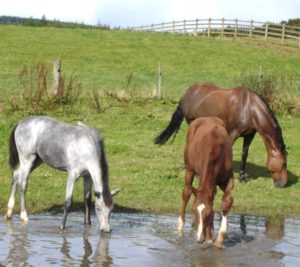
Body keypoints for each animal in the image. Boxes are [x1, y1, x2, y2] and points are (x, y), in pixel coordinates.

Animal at [155, 82, 288, 187]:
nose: (283, 184)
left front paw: (242, 178)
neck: (249, 108)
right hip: (192, 123)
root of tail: (187, 93)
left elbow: (244, 155)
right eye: (284, 163)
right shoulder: (233, 133)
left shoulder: (249, 135)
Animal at [178, 118, 234, 248]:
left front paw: (217, 239)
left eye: (208, 213)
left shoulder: (228, 178)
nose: (198, 238)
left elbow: (226, 202)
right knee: (186, 192)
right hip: (189, 170)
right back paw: (180, 227)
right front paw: (207, 237)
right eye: (193, 210)